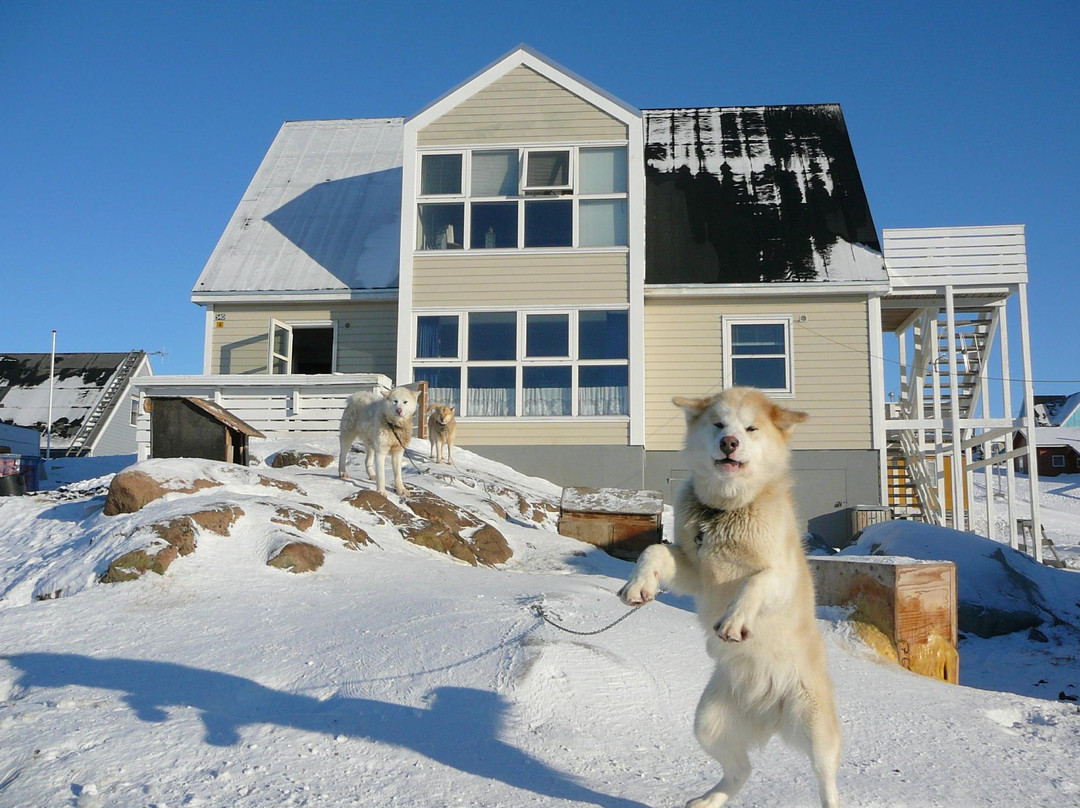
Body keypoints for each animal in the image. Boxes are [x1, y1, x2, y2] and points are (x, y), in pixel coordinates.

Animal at [622, 388, 838, 803]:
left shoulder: (781, 574)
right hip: (708, 722)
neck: (724, 513)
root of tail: (768, 707)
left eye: (751, 428)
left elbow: (756, 582)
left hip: (816, 729)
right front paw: (638, 585)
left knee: (826, 781)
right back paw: (708, 800)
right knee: (741, 771)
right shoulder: (694, 568)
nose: (729, 443)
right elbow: (654, 551)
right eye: (718, 424)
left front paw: (735, 621)